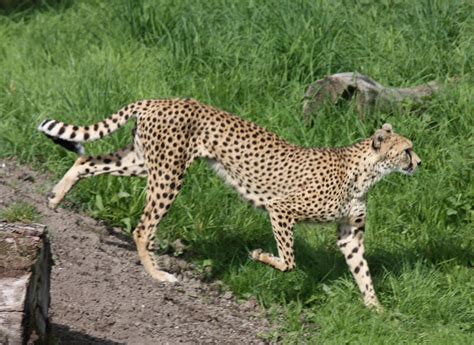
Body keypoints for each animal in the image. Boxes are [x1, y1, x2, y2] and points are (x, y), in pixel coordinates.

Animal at [39, 97, 420, 310]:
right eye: (406, 150)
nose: (419, 162)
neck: (365, 173)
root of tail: (158, 99)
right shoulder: (281, 210)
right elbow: (289, 261)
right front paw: (260, 256)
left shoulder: (349, 234)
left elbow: (362, 272)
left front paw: (377, 310)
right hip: (168, 175)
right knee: (143, 228)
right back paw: (158, 274)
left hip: (143, 161)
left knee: (85, 161)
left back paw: (56, 198)